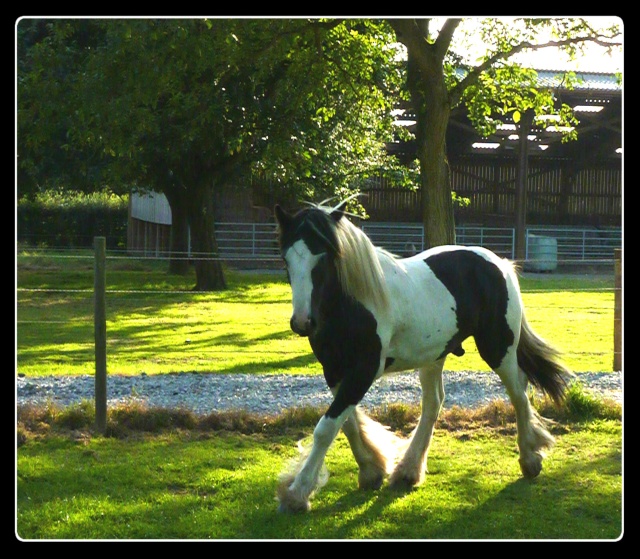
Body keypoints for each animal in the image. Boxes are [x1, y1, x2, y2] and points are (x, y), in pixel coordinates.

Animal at [274, 201, 568, 516]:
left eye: (323, 259)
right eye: (286, 260)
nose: (303, 322)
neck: (354, 303)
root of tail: (499, 264)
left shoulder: (363, 370)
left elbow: (326, 428)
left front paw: (297, 493)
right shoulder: (334, 371)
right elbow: (347, 423)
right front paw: (371, 470)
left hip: (498, 349)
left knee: (518, 395)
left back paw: (530, 459)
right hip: (434, 356)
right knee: (434, 403)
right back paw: (408, 470)